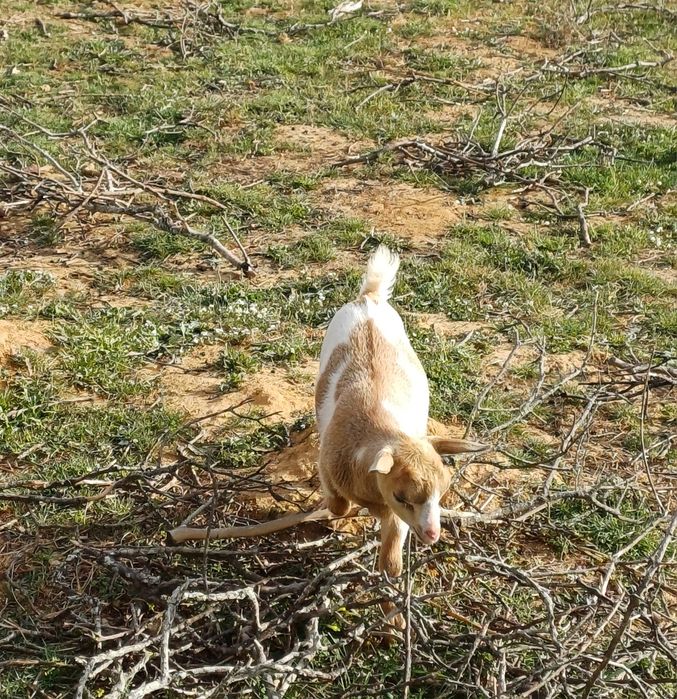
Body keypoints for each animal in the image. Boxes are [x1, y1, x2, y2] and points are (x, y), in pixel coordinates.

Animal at [169, 247, 486, 626]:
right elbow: (338, 504)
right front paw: (343, 514)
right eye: (402, 495)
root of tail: (369, 299)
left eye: (442, 492)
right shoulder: (331, 468)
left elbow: (391, 560)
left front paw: (394, 616)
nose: (433, 535)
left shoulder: (395, 513)